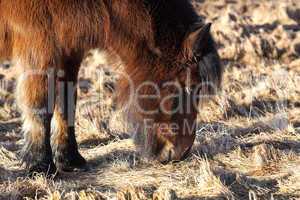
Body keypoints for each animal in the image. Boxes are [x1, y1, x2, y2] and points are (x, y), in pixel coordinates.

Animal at [0, 0, 223, 173]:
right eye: (190, 86)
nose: (180, 153)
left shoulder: (69, 51)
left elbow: (67, 103)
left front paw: (70, 159)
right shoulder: (39, 49)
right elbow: (40, 108)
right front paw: (40, 164)